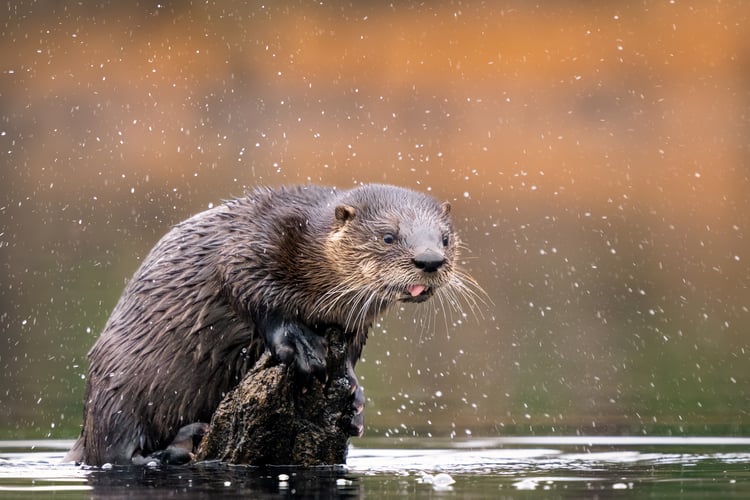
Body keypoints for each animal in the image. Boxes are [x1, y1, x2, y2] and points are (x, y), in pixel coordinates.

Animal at [63, 183, 476, 464]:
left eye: (445, 238)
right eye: (388, 236)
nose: (430, 260)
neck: (309, 249)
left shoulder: (353, 322)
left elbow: (349, 355)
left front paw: (355, 400)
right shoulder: (250, 250)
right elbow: (256, 297)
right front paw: (302, 347)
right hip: (116, 388)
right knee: (113, 451)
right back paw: (172, 450)